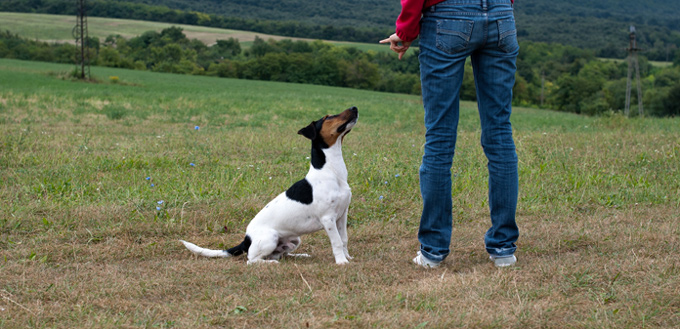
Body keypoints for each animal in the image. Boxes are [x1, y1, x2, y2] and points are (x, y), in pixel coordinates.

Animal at [181, 106, 362, 266]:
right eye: (327, 117)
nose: (354, 108)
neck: (331, 171)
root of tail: (246, 239)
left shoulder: (341, 215)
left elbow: (344, 239)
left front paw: (348, 257)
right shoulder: (328, 218)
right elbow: (336, 242)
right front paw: (341, 262)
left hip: (294, 240)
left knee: (280, 254)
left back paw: (299, 256)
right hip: (270, 239)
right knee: (252, 260)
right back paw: (271, 263)